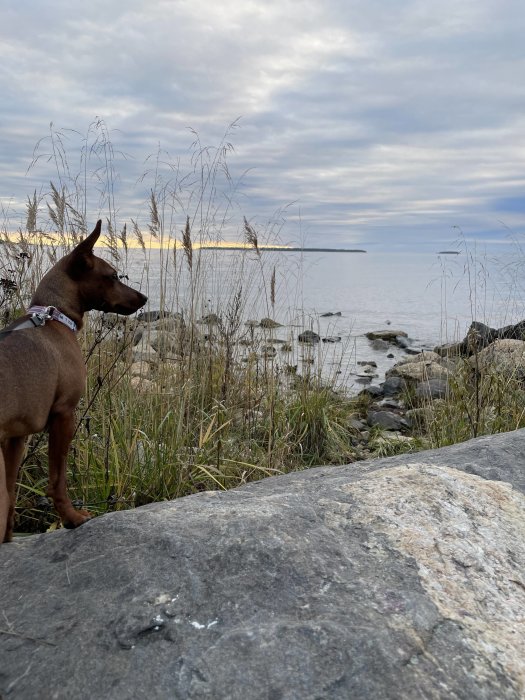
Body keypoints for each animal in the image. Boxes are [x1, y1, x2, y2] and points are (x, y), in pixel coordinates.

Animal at [1, 219, 147, 540]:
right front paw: (71, 518)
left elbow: (11, 497)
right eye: (112, 276)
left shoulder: (16, 438)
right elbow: (57, 479)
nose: (144, 298)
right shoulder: (64, 414)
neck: (54, 317)